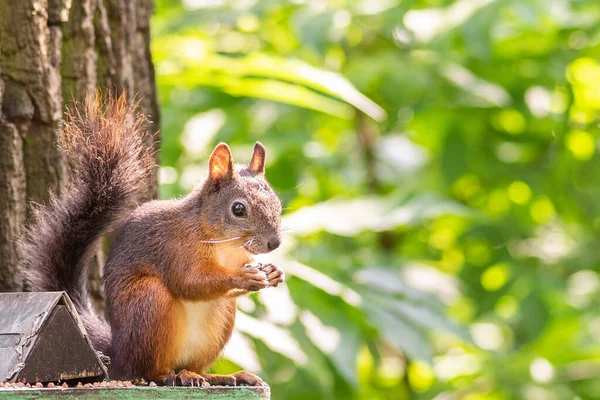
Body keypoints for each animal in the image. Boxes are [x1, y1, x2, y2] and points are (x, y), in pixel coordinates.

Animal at [16, 92, 284, 386]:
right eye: (238, 209)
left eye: (277, 202)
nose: (275, 244)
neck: (224, 245)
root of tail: (119, 354)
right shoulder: (175, 249)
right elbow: (190, 282)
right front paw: (242, 277)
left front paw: (273, 272)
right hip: (149, 301)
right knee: (147, 370)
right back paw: (172, 375)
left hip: (221, 317)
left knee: (195, 364)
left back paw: (220, 376)